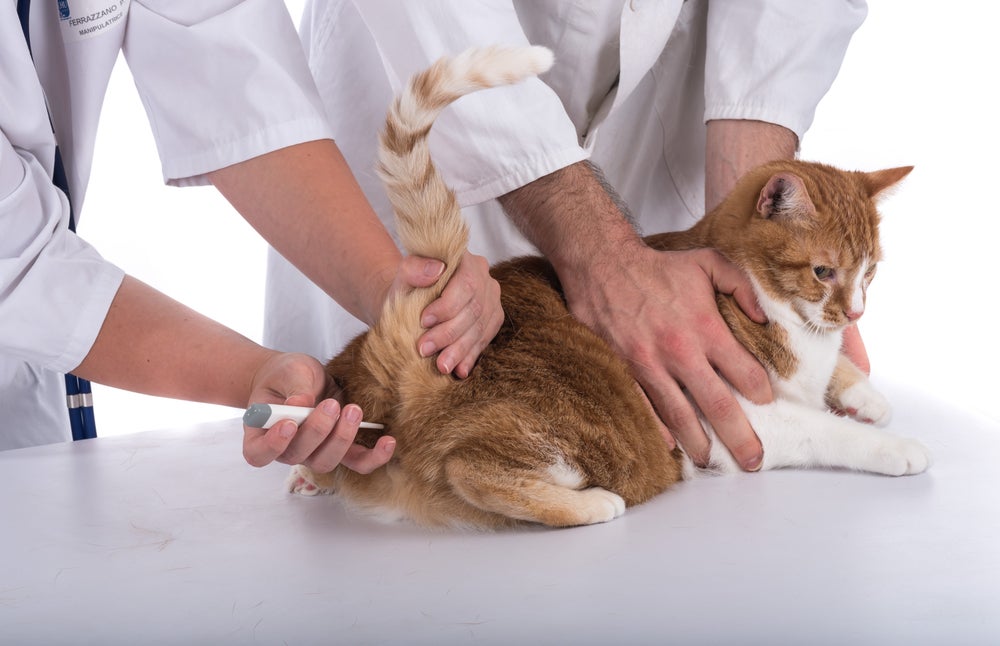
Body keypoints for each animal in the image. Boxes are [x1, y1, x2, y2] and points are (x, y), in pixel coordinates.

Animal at [288, 44, 928, 532]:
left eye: (870, 272)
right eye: (824, 272)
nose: (855, 313)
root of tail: (409, 367)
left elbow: (840, 376)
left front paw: (865, 393)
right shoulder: (741, 423)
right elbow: (825, 430)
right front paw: (896, 446)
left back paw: (308, 473)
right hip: (585, 436)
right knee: (472, 468)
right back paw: (593, 505)